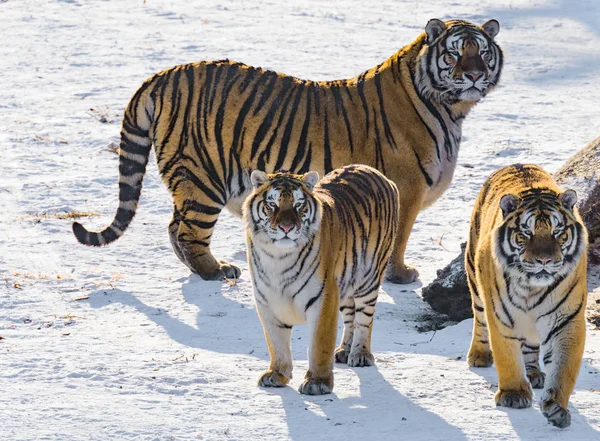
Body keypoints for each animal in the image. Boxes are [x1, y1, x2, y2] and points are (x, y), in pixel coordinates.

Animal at [70, 18, 502, 282]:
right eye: (454, 52)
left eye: (482, 51)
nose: (474, 74)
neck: (451, 109)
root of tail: (161, 76)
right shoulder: (405, 189)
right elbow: (398, 238)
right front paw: (400, 274)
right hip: (202, 178)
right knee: (187, 231)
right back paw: (216, 271)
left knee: (174, 228)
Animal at [241, 163, 400, 394]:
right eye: (272, 204)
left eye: (298, 205)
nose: (287, 228)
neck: (278, 258)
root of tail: (374, 170)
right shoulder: (267, 302)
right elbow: (276, 343)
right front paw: (277, 374)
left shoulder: (323, 300)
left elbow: (319, 346)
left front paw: (317, 382)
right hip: (345, 284)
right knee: (350, 317)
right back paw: (344, 350)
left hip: (368, 279)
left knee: (364, 320)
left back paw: (360, 354)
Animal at [466, 163, 588, 428]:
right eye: (526, 233)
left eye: (557, 232)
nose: (544, 260)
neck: (533, 288)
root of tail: (516, 164)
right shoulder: (501, 317)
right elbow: (507, 357)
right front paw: (513, 395)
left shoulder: (567, 320)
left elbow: (563, 368)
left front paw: (556, 407)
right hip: (474, 276)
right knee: (479, 319)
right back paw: (479, 355)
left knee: (531, 344)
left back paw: (534, 373)